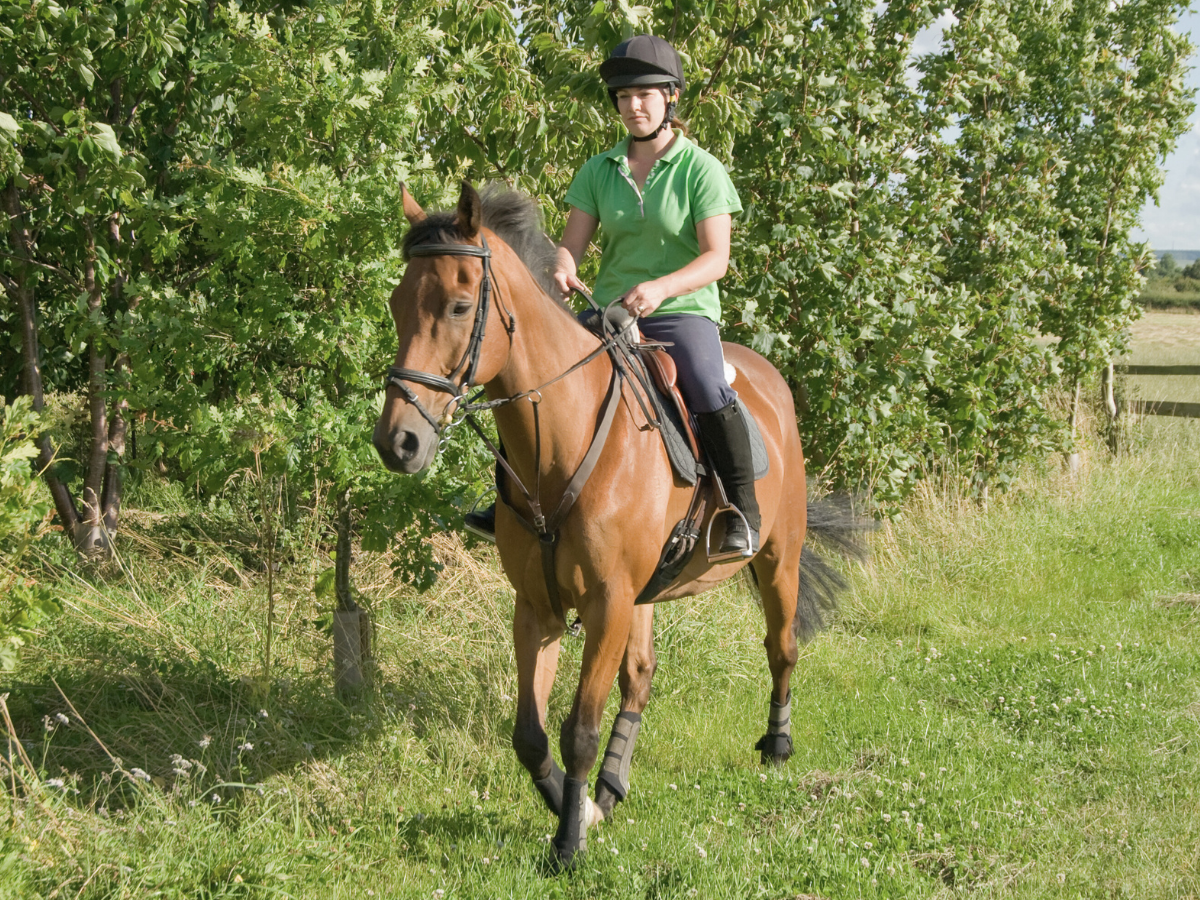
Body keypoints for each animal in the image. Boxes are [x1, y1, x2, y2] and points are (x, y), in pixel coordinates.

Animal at [373, 181, 864, 869]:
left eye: (459, 306)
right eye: (397, 304)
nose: (399, 443)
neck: (561, 444)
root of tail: (770, 380)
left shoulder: (606, 603)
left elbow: (578, 728)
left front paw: (568, 841)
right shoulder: (539, 606)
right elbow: (529, 734)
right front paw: (574, 803)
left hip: (777, 560)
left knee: (782, 647)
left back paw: (777, 744)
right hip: (647, 592)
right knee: (641, 678)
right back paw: (610, 786)